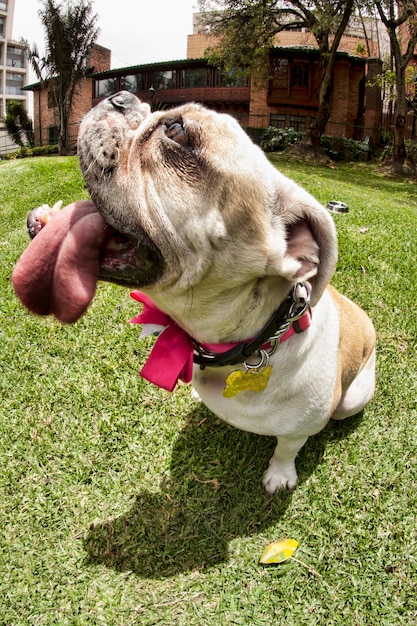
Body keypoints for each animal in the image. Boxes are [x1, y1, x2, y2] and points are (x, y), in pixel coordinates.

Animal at [13, 92, 376, 492]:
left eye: (177, 132)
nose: (122, 97)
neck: (250, 343)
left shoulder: (301, 429)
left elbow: (287, 448)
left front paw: (279, 476)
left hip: (352, 400)